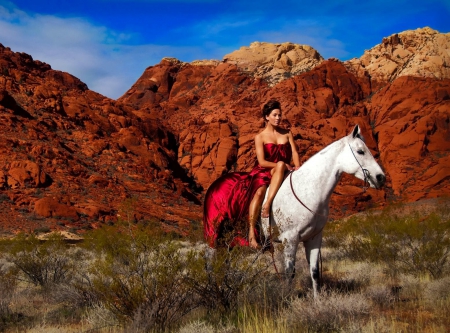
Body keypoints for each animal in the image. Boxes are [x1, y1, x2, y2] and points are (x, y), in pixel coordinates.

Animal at [260, 124, 386, 296]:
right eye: (361, 151)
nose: (381, 178)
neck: (307, 190)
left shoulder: (314, 237)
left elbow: (314, 271)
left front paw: (317, 300)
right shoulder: (290, 239)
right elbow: (290, 273)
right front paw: (287, 298)